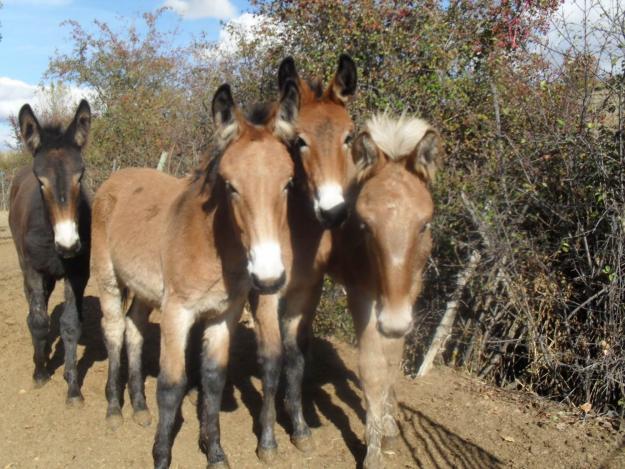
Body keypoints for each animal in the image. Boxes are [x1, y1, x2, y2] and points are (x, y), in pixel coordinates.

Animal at [89, 81, 300, 468]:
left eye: (289, 183)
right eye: (230, 185)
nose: (268, 278)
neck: (210, 243)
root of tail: (118, 177)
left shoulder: (224, 315)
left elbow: (213, 381)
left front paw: (215, 451)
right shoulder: (178, 312)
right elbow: (171, 385)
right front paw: (161, 456)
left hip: (144, 290)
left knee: (133, 329)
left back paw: (139, 407)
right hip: (109, 278)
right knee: (113, 330)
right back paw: (114, 409)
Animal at [247, 53, 358, 458]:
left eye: (349, 136)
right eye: (299, 142)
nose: (333, 212)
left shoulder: (306, 293)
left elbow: (295, 358)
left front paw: (298, 427)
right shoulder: (266, 296)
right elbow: (271, 360)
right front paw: (267, 440)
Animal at [326, 114, 444, 468]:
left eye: (424, 225)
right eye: (365, 225)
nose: (392, 322)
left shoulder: (409, 293)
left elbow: (393, 360)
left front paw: (389, 427)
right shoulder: (361, 294)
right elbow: (373, 368)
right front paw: (373, 451)